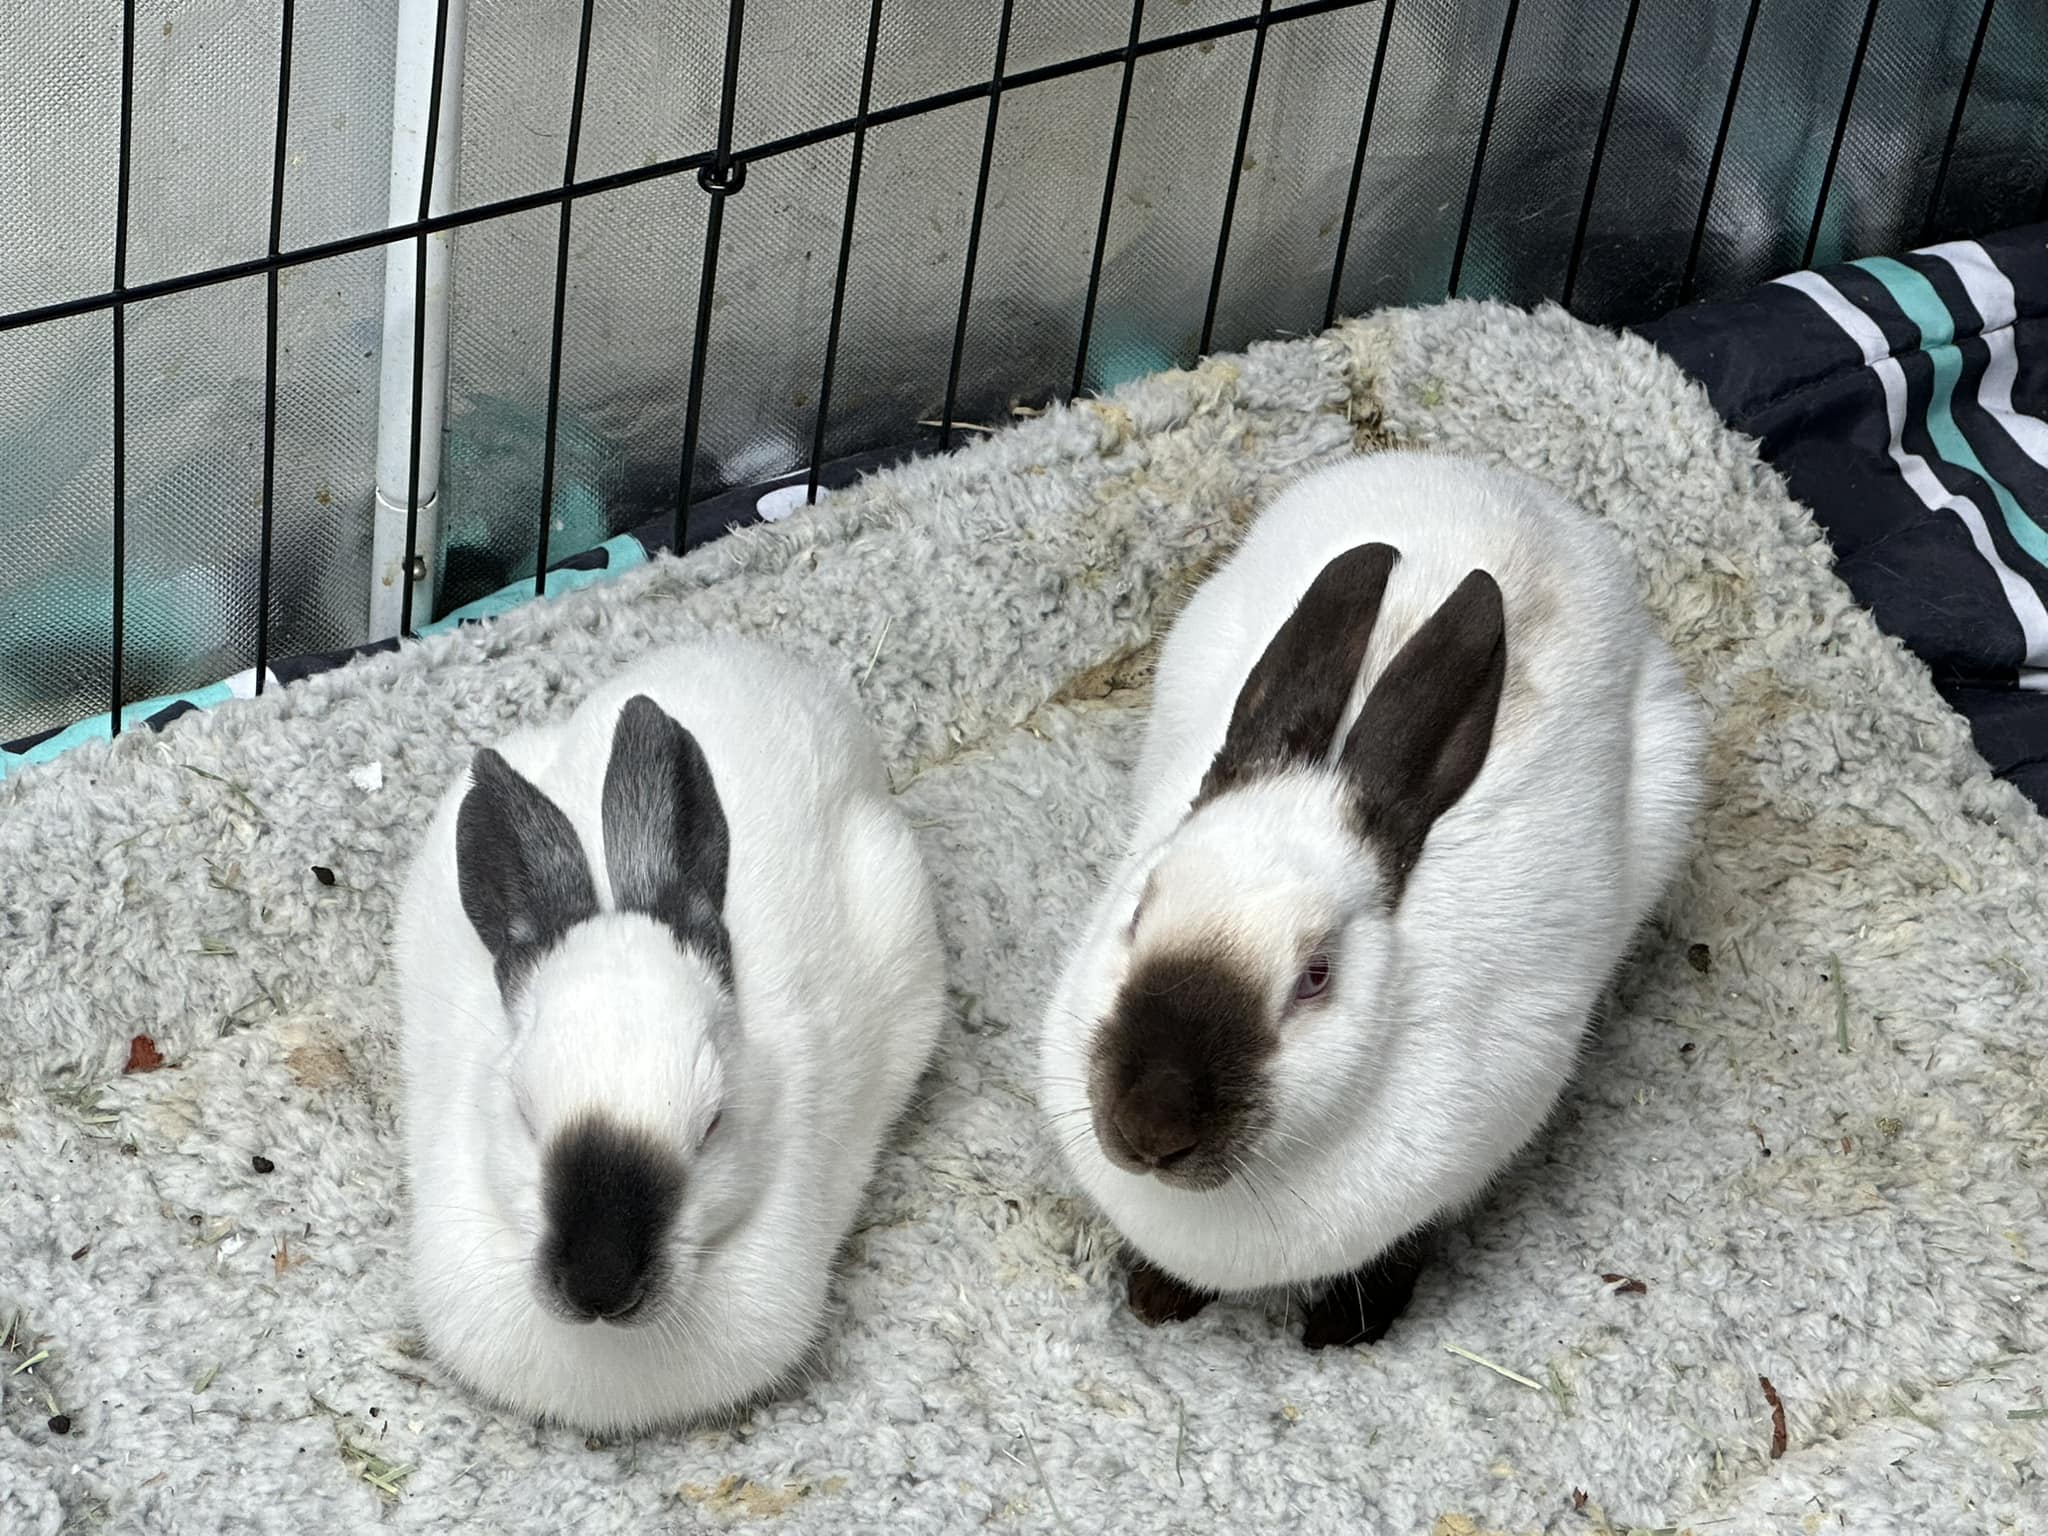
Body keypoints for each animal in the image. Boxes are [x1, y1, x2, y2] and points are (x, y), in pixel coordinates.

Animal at [1038, 450, 1704, 1349]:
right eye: (1137, 910)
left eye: (1316, 978)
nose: (1151, 1128)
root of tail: (1514, 490)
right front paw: (1156, 1298)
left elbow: (1410, 1242)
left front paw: (1341, 1331)